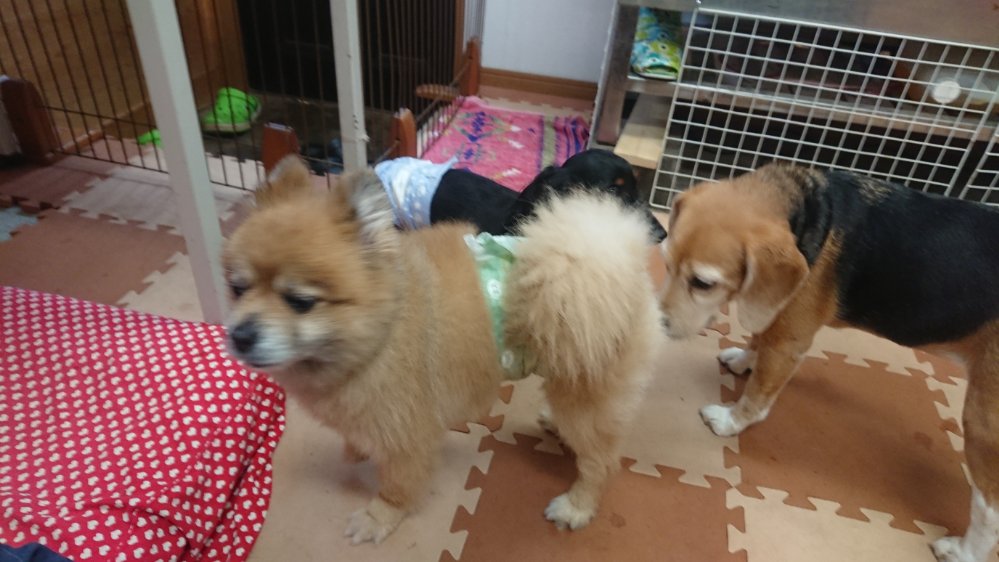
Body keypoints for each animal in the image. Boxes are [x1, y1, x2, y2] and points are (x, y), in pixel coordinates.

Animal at [657, 162, 999, 562]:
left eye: (703, 283)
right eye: (665, 264)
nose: (658, 323)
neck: (811, 211)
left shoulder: (789, 341)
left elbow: (758, 394)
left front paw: (731, 421)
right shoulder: (777, 311)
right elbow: (760, 336)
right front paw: (745, 358)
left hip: (984, 422)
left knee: (990, 510)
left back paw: (963, 552)